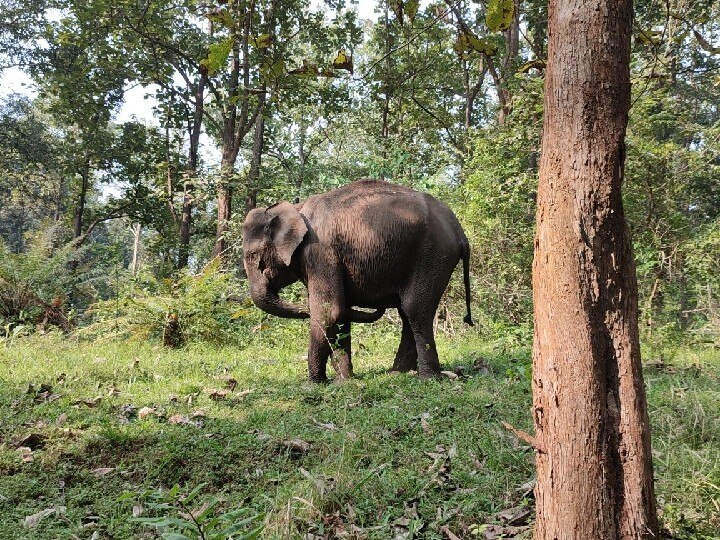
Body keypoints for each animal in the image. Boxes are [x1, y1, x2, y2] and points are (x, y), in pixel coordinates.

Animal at [245, 179, 476, 382]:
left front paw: (313, 383)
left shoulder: (320, 251)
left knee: (415, 309)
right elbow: (340, 313)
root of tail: (459, 231)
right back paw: (397, 373)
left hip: (432, 255)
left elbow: (329, 311)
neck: (295, 208)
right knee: (407, 312)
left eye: (252, 256)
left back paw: (427, 378)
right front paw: (343, 381)